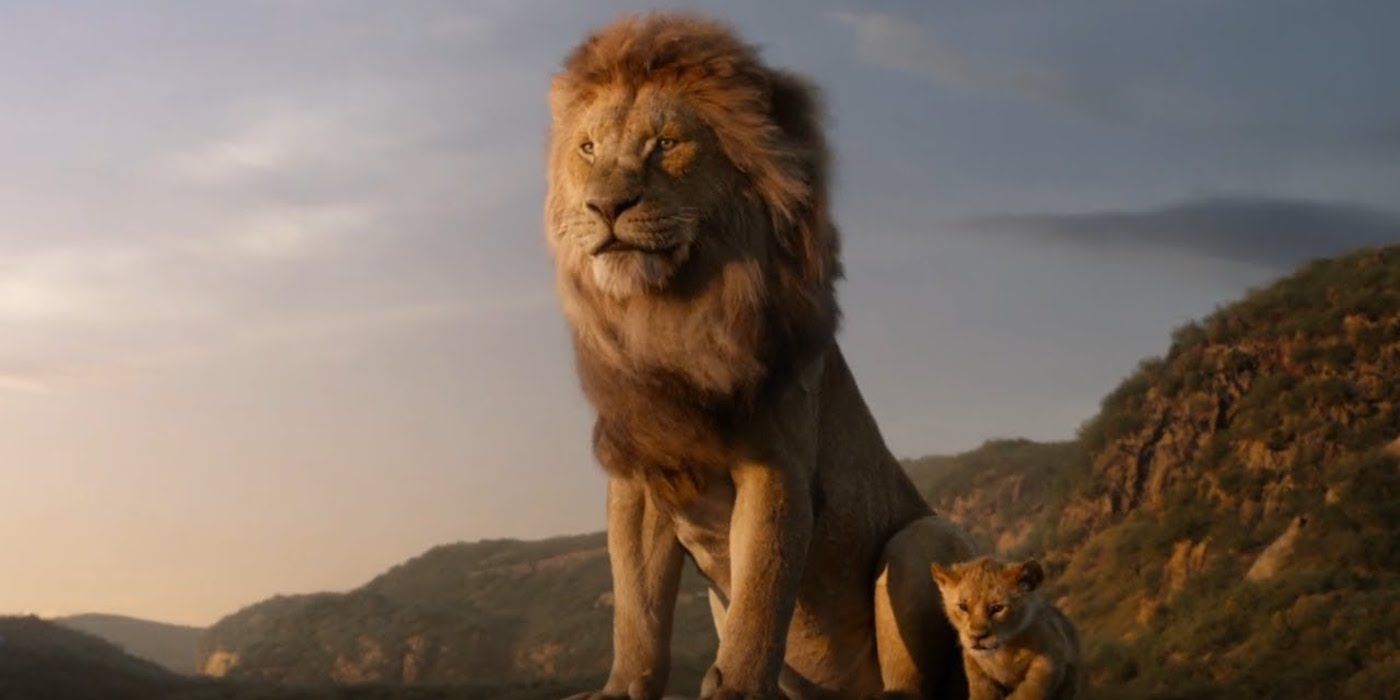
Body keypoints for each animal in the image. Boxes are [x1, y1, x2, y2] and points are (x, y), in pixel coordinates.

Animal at [545, 13, 977, 699]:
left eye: (664, 144)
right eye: (587, 149)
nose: (605, 207)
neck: (670, 316)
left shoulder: (775, 463)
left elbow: (761, 595)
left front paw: (739, 689)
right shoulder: (640, 474)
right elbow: (636, 607)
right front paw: (621, 687)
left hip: (921, 539)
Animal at [930, 559, 1081, 700]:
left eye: (997, 608)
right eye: (963, 607)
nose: (977, 636)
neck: (1003, 653)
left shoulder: (1053, 653)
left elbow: (1031, 688)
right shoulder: (974, 665)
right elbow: (981, 688)